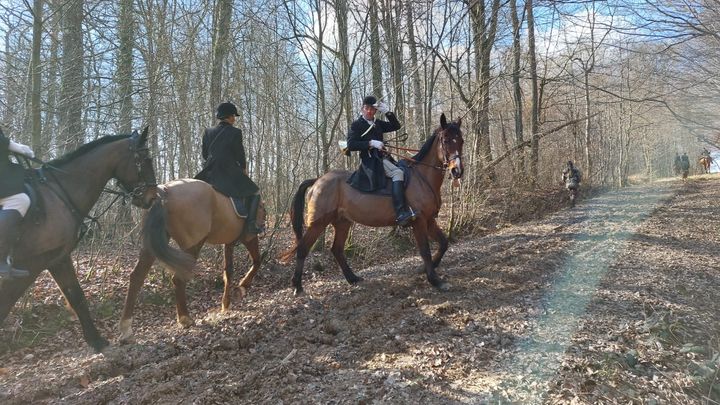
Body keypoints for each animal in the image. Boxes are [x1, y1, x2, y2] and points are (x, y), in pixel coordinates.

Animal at [0, 129, 158, 350]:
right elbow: (5, 302)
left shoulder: (58, 258)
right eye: (144, 159)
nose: (152, 197)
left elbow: (76, 295)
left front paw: (95, 340)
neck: (59, 195)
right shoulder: (34, 262)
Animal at [118, 178, 264, 340]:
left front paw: (226, 304)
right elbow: (257, 261)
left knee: (137, 277)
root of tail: (163, 191)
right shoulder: (249, 237)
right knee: (178, 279)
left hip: (150, 246)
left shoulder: (229, 242)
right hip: (194, 244)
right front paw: (243, 286)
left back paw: (126, 327)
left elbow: (229, 271)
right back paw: (185, 318)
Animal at [284, 112, 464, 296]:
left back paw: (352, 278)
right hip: (318, 223)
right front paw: (434, 280)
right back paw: (297, 286)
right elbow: (425, 250)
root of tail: (317, 181)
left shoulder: (429, 220)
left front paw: (428, 268)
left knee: (337, 249)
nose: (457, 170)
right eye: (446, 140)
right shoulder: (419, 221)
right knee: (303, 249)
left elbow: (443, 243)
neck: (422, 177)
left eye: (461, 140)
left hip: (342, 222)